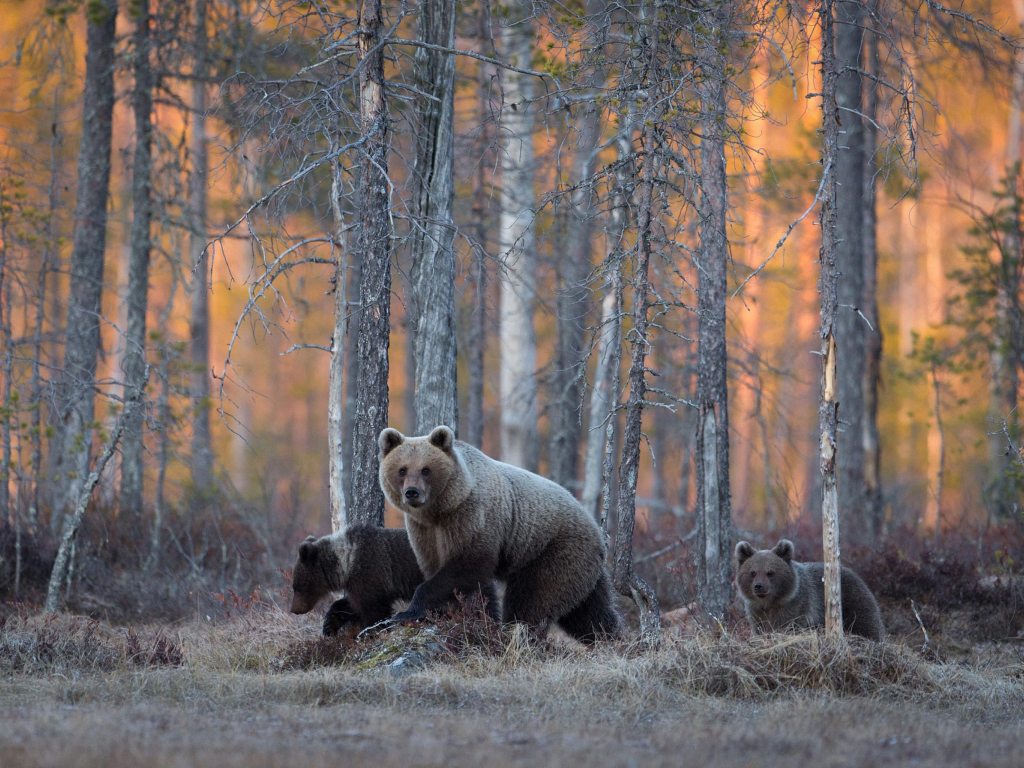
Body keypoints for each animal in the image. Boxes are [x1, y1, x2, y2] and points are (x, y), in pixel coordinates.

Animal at [376, 428, 614, 643]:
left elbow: (465, 567)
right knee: (590, 612)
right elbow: (455, 577)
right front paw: (464, 616)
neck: (441, 510)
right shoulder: (425, 532)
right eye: (402, 470)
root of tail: (596, 529)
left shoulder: (472, 518)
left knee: (533, 599)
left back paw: (519, 634)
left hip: (554, 550)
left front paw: (408, 612)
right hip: (583, 569)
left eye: (426, 469)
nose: (412, 492)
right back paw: (610, 639)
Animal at [733, 540, 884, 643]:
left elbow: (787, 624)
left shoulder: (795, 605)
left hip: (854, 602)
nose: (758, 586)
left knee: (866, 624)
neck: (770, 602)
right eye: (752, 573)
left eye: (770, 572)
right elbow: (759, 627)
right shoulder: (755, 610)